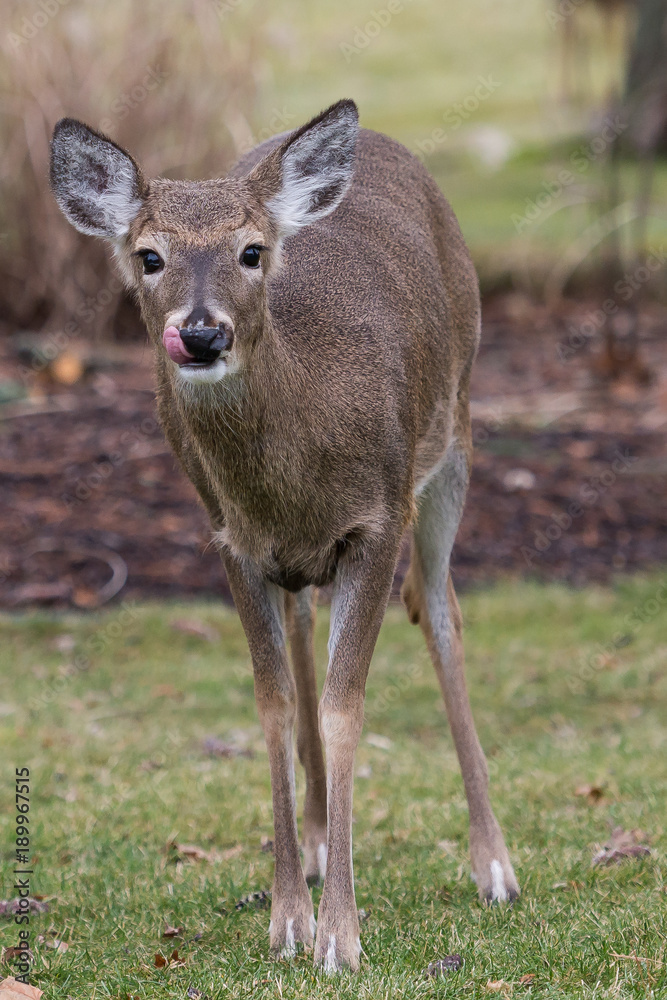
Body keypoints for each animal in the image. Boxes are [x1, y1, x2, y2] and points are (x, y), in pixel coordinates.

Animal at [50, 99, 519, 972]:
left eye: (250, 250)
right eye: (149, 255)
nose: (202, 334)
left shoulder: (378, 518)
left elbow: (344, 707)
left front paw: (340, 937)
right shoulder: (231, 539)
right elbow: (273, 705)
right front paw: (288, 920)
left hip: (457, 430)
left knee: (440, 612)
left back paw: (493, 866)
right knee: (307, 626)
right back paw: (317, 842)